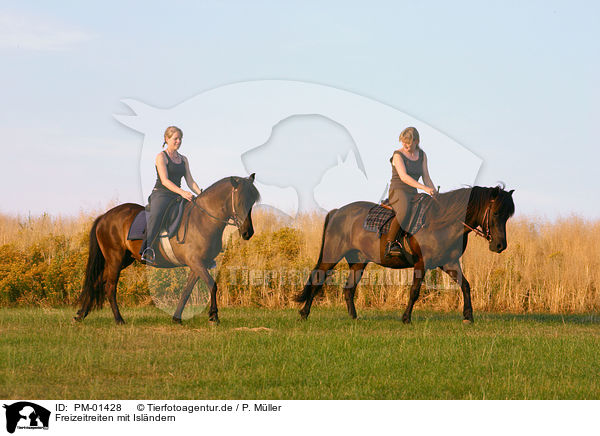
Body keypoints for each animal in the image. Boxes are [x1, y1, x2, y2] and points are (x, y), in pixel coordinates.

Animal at [73, 174, 260, 324]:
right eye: (240, 202)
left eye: (252, 202)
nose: (248, 232)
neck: (202, 219)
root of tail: (104, 217)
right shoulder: (196, 262)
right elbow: (212, 285)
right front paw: (213, 316)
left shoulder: (197, 265)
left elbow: (186, 291)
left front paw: (177, 318)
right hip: (115, 259)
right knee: (110, 286)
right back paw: (118, 319)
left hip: (124, 259)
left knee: (98, 281)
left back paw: (80, 314)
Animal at [296, 185, 516, 324]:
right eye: (496, 213)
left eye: (507, 215)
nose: (500, 245)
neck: (441, 222)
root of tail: (338, 211)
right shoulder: (421, 263)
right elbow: (415, 291)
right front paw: (406, 318)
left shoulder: (450, 263)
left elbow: (466, 286)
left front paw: (468, 317)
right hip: (331, 256)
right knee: (318, 279)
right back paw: (304, 313)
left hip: (358, 262)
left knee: (348, 289)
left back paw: (354, 318)